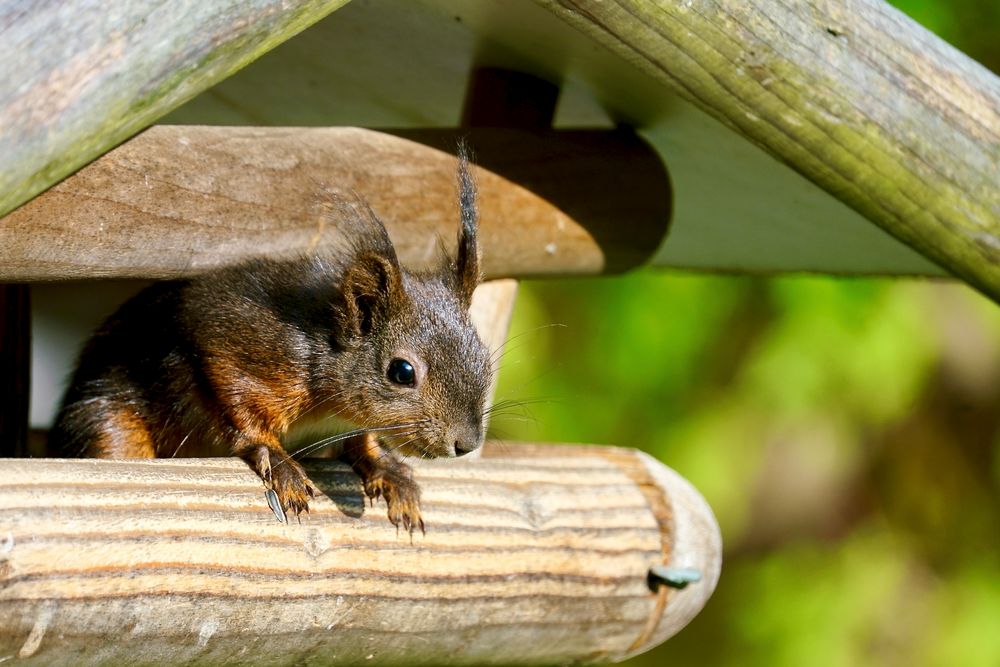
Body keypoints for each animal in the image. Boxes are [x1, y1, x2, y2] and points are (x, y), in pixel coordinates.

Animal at [48, 149, 494, 536]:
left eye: (485, 358)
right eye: (402, 372)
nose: (466, 444)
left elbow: (363, 440)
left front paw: (387, 468)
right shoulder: (240, 343)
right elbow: (235, 402)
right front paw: (278, 462)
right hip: (109, 422)